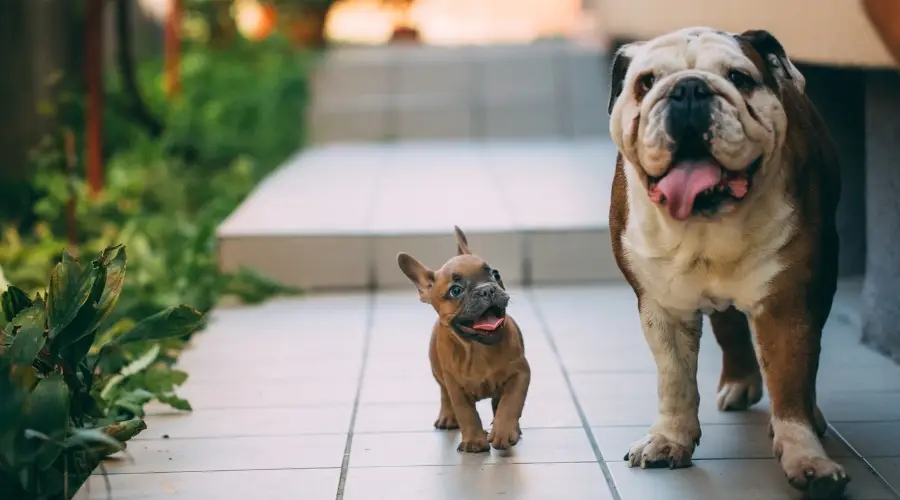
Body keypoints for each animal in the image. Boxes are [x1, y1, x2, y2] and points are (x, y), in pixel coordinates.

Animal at [398, 227, 532, 454]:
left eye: (495, 274)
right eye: (456, 290)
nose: (487, 289)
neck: (478, 348)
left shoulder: (520, 374)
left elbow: (510, 403)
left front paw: (504, 431)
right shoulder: (456, 387)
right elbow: (466, 413)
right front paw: (474, 442)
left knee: (498, 402)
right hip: (439, 373)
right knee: (444, 395)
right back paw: (447, 417)